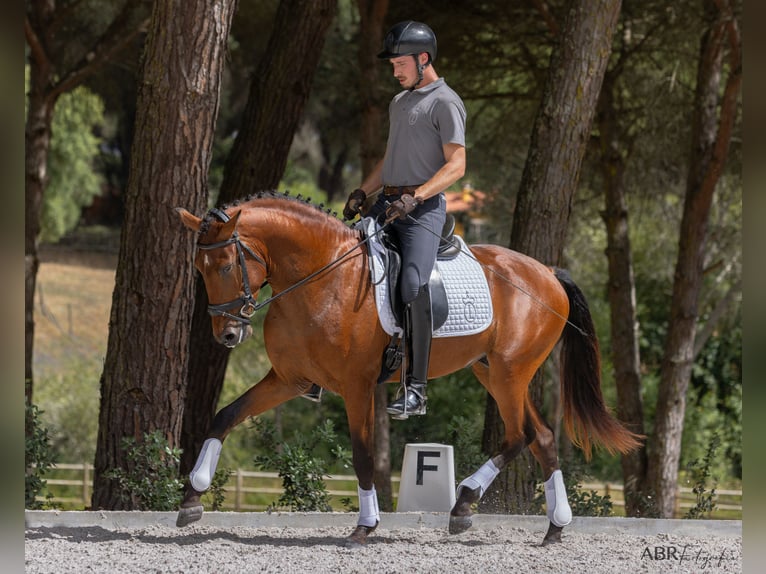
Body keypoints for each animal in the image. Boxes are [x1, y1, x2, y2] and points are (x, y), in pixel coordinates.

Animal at [174, 190, 640, 548]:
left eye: (227, 266)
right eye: (199, 268)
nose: (228, 335)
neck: (321, 276)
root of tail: (548, 272)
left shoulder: (358, 387)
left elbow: (363, 454)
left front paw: (365, 527)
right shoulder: (291, 380)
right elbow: (225, 416)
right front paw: (192, 497)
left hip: (510, 372)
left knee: (521, 435)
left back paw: (466, 500)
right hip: (493, 371)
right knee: (540, 437)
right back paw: (549, 527)